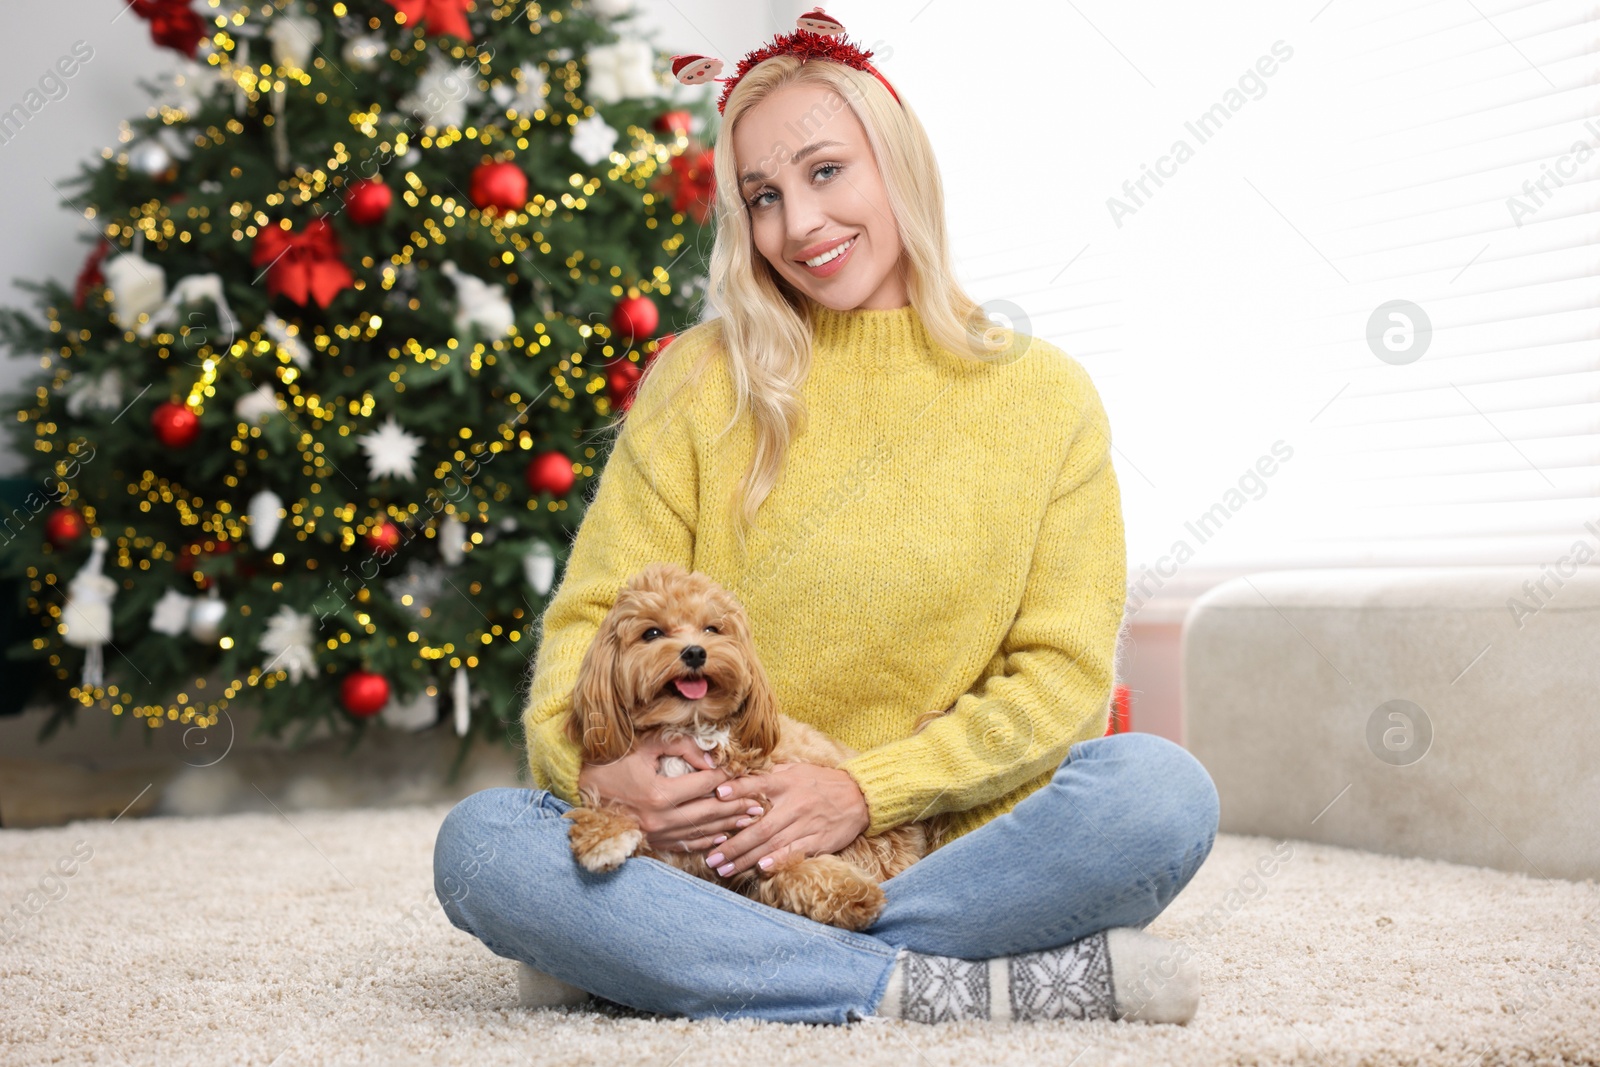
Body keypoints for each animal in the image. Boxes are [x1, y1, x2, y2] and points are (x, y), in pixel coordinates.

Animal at [563, 563, 947, 927]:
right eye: (652, 633)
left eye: (712, 629)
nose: (694, 653)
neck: (692, 728)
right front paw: (603, 837)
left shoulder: (769, 833)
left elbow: (794, 868)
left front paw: (852, 894)